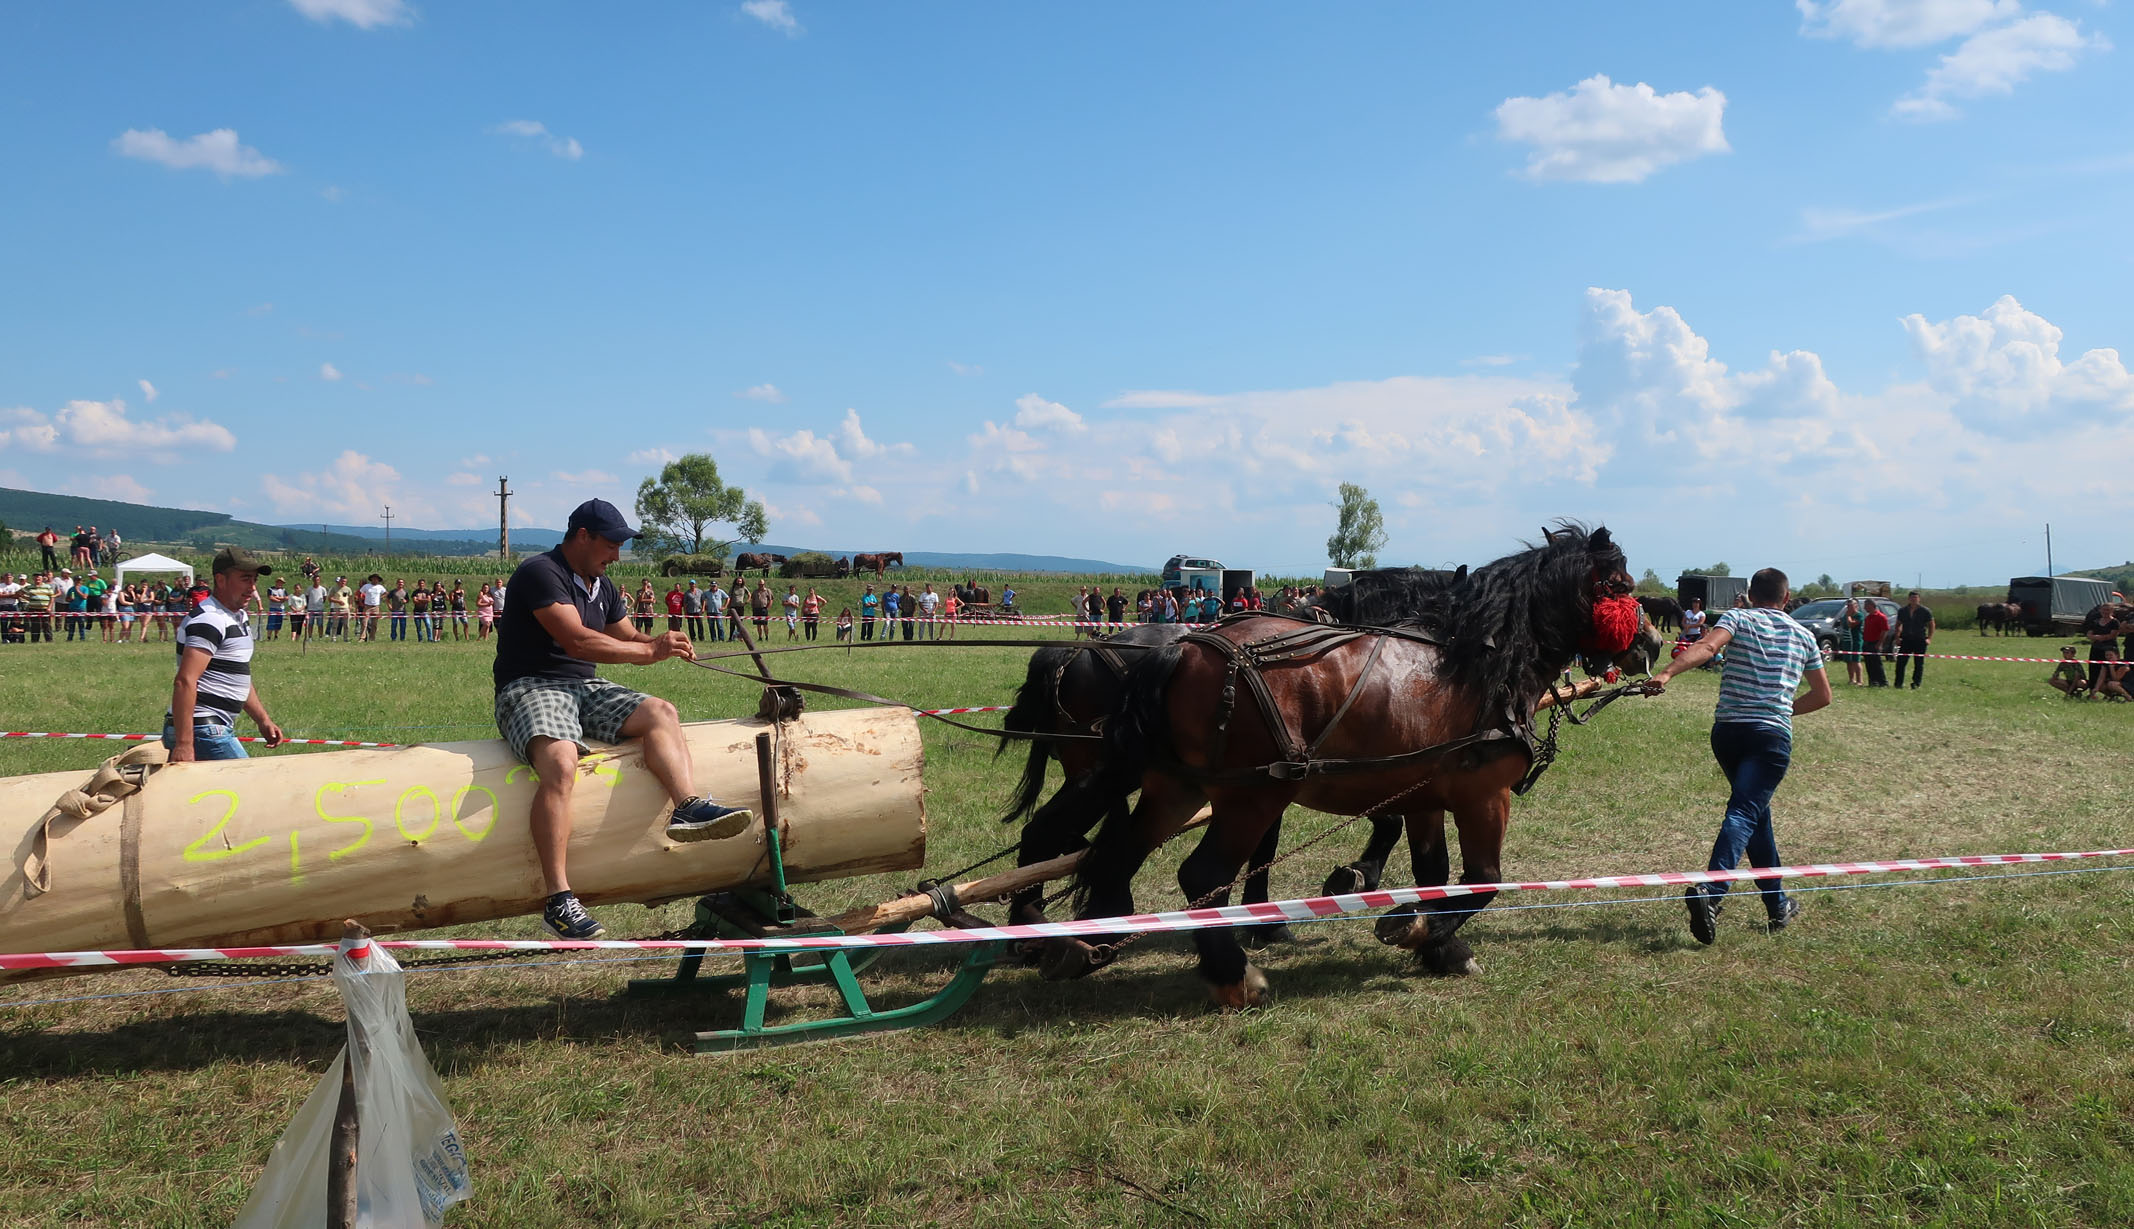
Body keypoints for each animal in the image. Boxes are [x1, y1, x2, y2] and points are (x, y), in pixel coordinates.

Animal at [1058, 522, 1638, 1002]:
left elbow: (1433, 874)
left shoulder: (1421, 796)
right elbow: (1483, 880)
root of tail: (1184, 648)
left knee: (1119, 853)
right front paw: (1415, 928)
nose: (1648, 644)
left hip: (1176, 788)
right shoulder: (1483, 795)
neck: (1483, 665)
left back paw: (1087, 943)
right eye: (1622, 586)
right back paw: (1232, 977)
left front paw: (1433, 943)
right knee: (1201, 875)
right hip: (1251, 798)